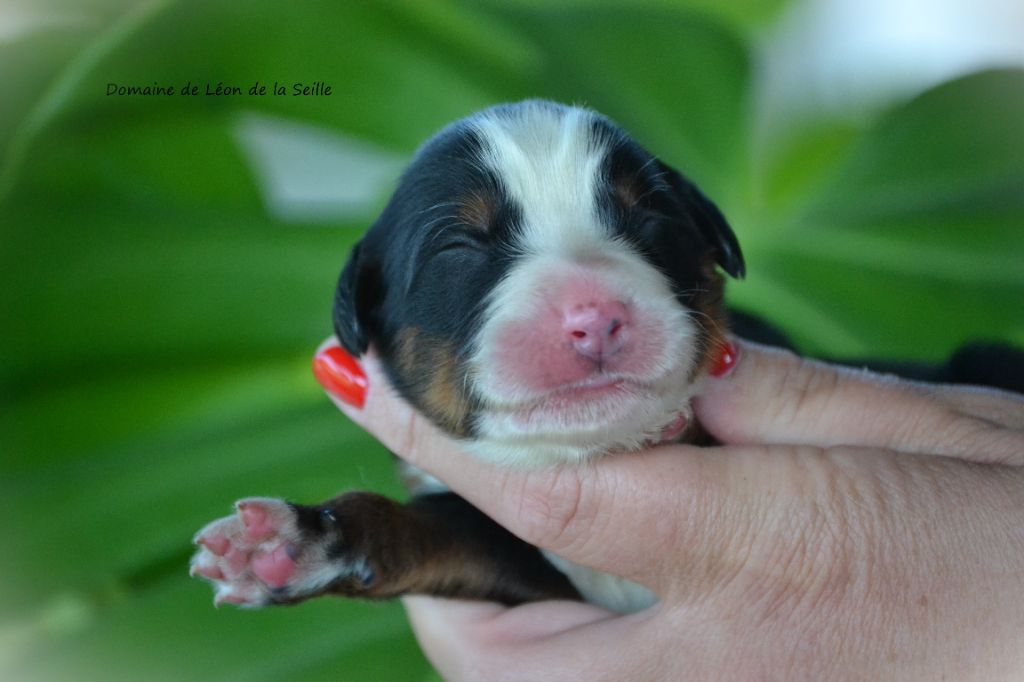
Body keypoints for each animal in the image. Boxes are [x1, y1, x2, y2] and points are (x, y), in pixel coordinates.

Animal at [190, 99, 745, 610]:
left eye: (650, 216)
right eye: (459, 246)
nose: (594, 320)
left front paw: (670, 425)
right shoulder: (517, 560)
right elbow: (439, 533)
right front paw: (294, 543)